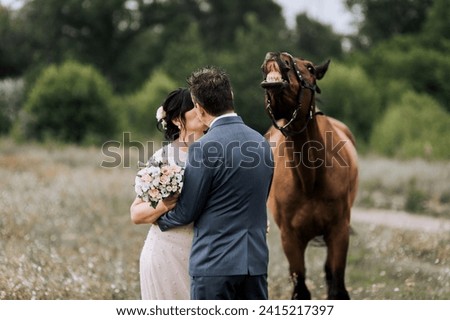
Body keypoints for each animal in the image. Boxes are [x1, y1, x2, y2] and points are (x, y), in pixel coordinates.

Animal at [260, 51, 358, 298]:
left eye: (311, 68)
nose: (277, 55)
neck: (309, 179)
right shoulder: (290, 238)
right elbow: (301, 289)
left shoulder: (339, 231)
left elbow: (337, 287)